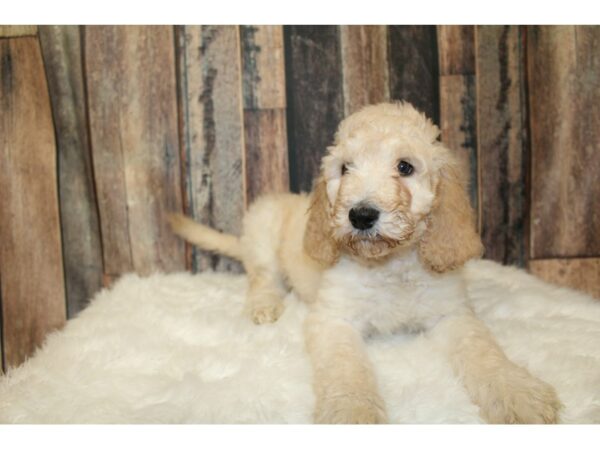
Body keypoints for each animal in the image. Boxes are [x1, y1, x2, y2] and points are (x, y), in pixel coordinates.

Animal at [170, 103, 564, 426]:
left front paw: (518, 393)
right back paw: (264, 305)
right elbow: (346, 369)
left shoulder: (451, 314)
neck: (388, 265)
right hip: (262, 227)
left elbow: (484, 351)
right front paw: (353, 413)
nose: (360, 215)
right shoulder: (334, 320)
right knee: (261, 277)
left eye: (405, 167)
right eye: (345, 168)